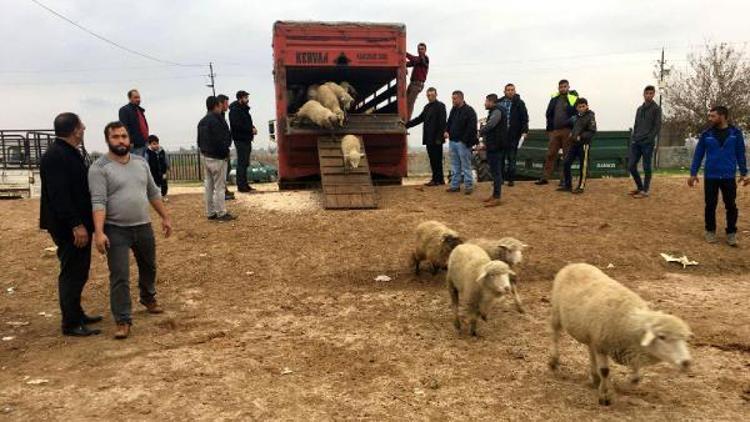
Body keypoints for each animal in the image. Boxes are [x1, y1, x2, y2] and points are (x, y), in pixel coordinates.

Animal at [548, 264, 696, 406]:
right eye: (662, 337)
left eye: (685, 338)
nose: (686, 362)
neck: (630, 321)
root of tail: (574, 264)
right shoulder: (602, 345)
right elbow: (605, 371)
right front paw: (605, 396)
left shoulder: (631, 349)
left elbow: (636, 378)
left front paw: (621, 387)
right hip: (557, 312)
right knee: (555, 335)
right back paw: (554, 362)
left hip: (591, 333)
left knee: (590, 350)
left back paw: (595, 377)